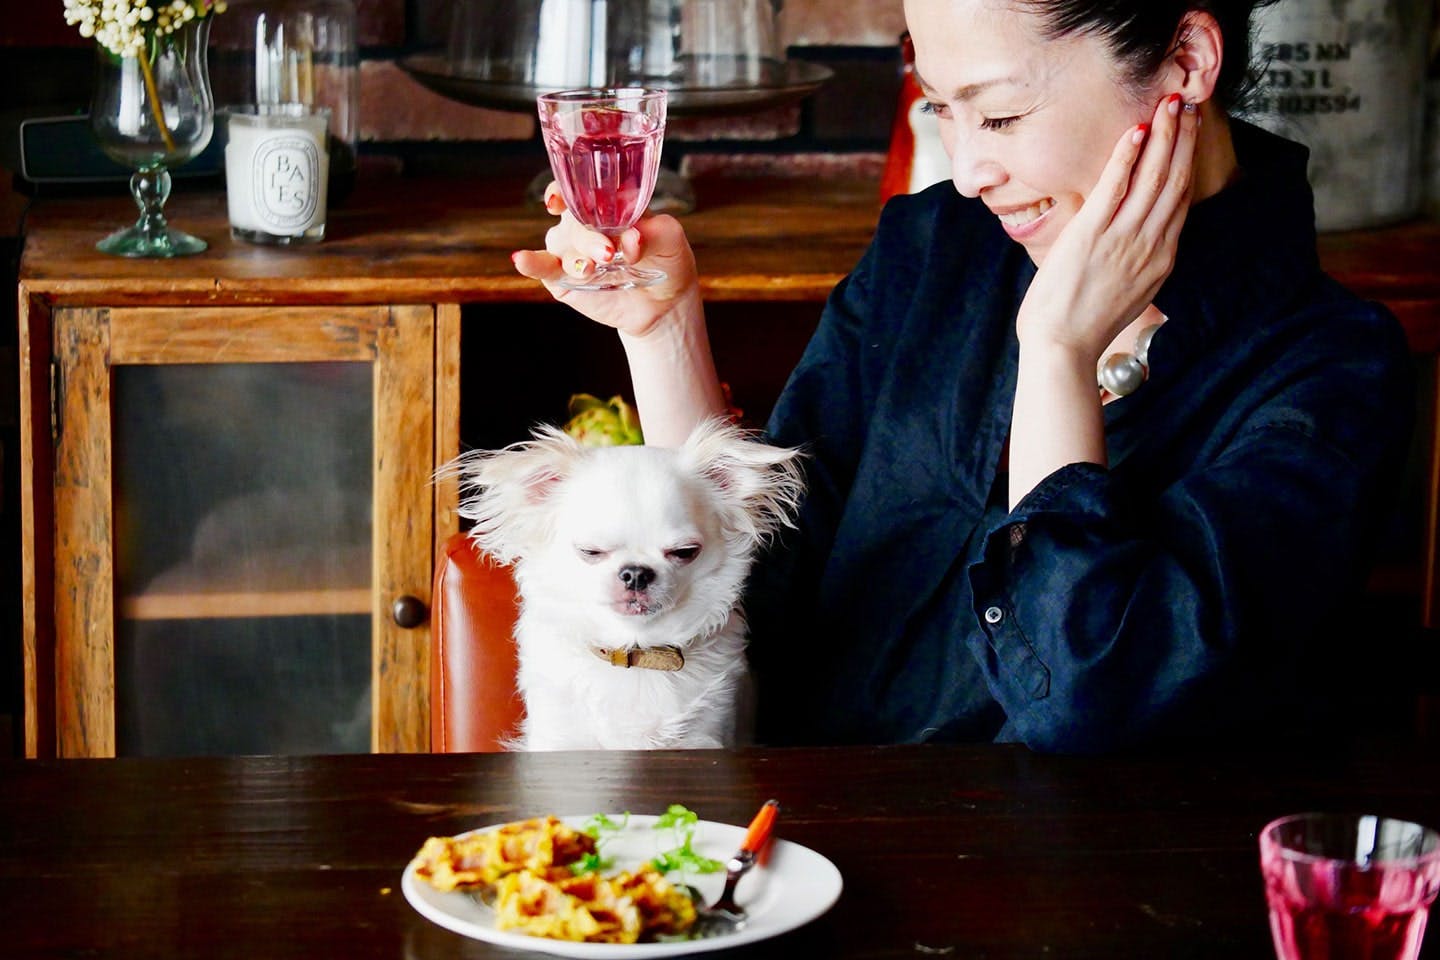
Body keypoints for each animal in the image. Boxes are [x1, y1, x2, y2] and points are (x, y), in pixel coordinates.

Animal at [452, 420, 806, 748]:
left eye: (685, 552)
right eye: (590, 552)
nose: (636, 572)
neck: (635, 652)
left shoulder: (705, 735)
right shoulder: (561, 737)